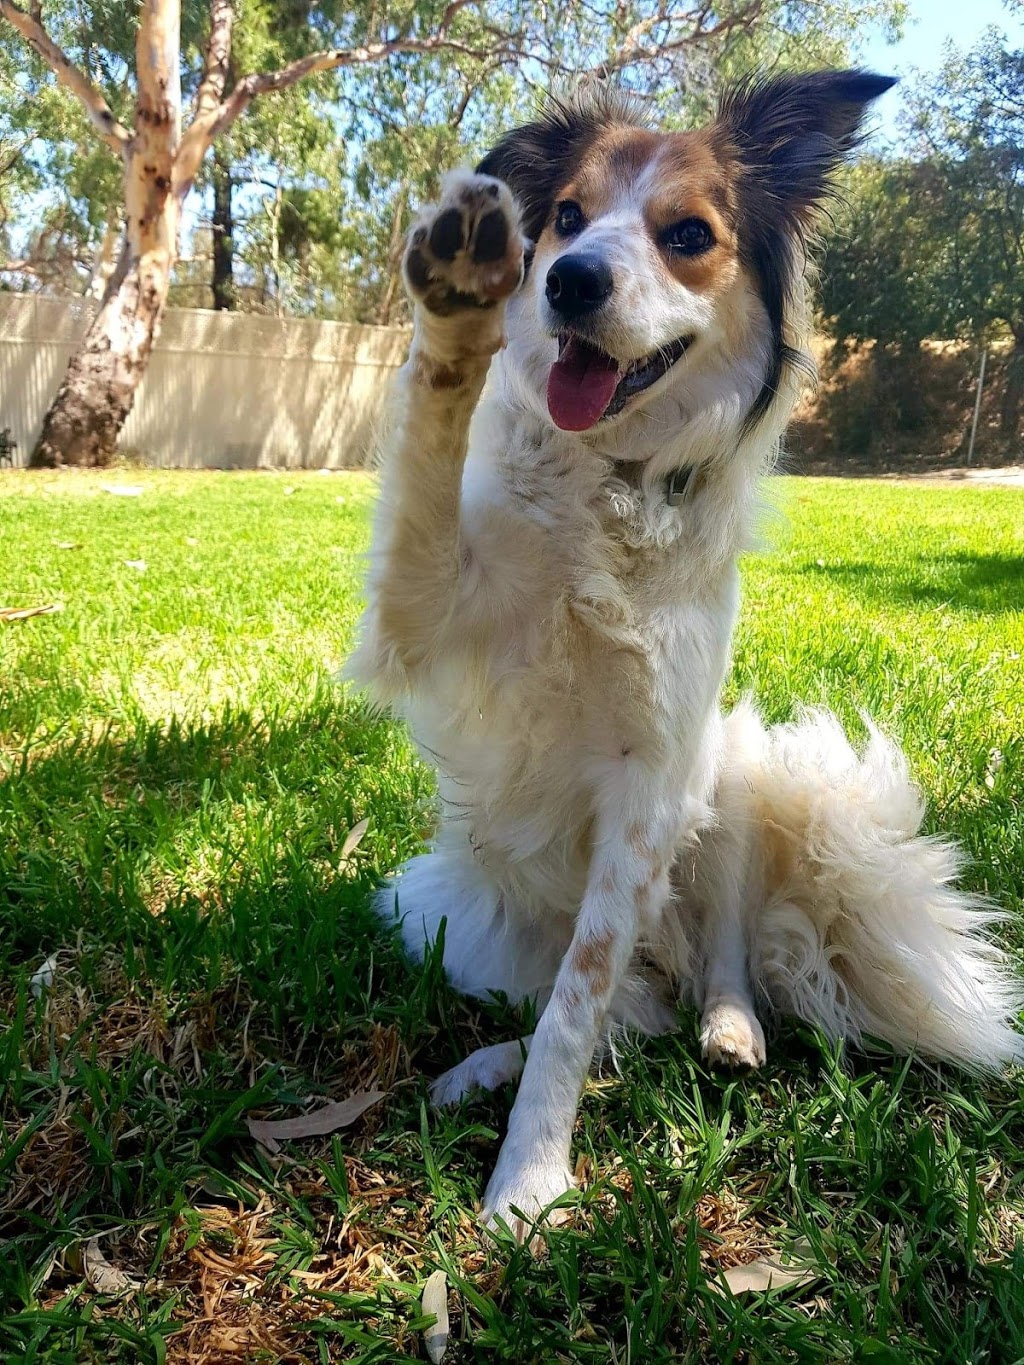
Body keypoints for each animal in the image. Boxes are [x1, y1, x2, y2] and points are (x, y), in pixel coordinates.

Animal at [349, 74, 1021, 1250]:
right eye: (567, 216)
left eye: (689, 235)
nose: (566, 279)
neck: (617, 485)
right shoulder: (423, 614)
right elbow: (429, 443)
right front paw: (460, 299)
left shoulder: (651, 777)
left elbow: (579, 1005)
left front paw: (528, 1180)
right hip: (445, 912)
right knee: (628, 1012)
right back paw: (480, 1068)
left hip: (740, 767)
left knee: (700, 967)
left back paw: (731, 1025)